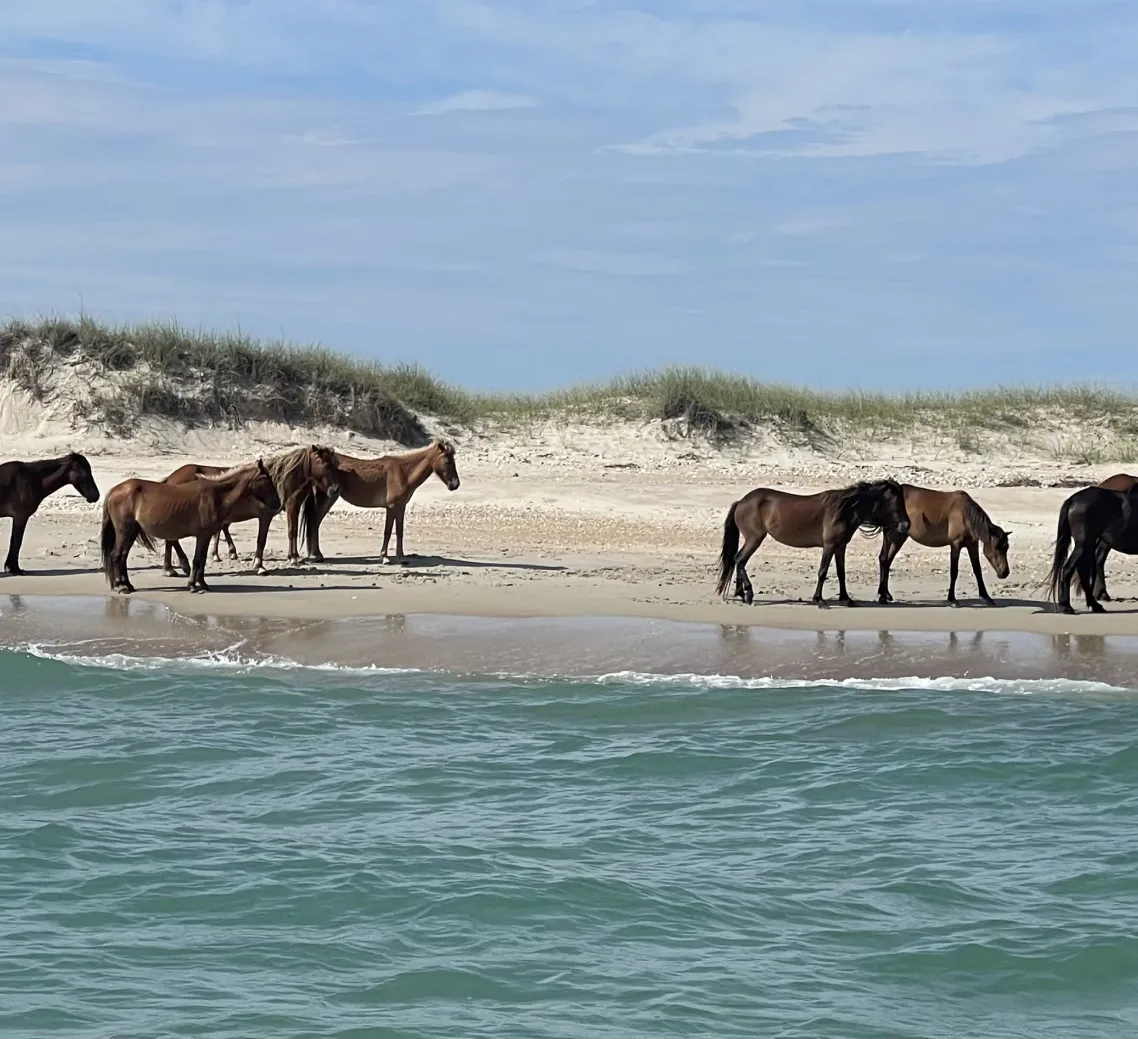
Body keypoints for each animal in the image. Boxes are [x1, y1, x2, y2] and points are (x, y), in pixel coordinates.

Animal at [101, 459, 281, 594]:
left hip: (131, 532)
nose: (278, 504)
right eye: (266, 479)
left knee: (122, 557)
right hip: (125, 532)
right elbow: (197, 560)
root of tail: (114, 490)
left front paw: (202, 584)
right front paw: (193, 585)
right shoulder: (202, 535)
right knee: (117, 556)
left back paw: (128, 585)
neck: (217, 495)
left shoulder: (206, 536)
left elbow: (202, 559)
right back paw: (122, 586)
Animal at [160, 445, 341, 576]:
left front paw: (294, 557)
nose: (335, 489)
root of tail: (170, 479)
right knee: (172, 539)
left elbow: (292, 531)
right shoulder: (270, 514)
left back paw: (171, 568)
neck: (276, 482)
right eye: (325, 464)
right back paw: (180, 565)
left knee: (171, 539)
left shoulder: (292, 507)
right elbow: (270, 537)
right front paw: (262, 564)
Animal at [299, 438, 461, 564]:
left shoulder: (400, 507)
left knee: (315, 523)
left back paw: (315, 555)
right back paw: (316, 555)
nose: (455, 484)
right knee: (314, 522)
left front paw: (401, 557)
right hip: (326, 498)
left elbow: (399, 531)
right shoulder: (391, 507)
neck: (403, 473)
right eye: (447, 461)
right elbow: (387, 531)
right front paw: (385, 557)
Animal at [715, 479, 910, 607]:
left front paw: (846, 599)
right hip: (754, 538)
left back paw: (741, 594)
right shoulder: (829, 546)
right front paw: (820, 600)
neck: (845, 509)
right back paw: (748, 594)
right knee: (740, 560)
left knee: (738, 560)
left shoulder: (840, 547)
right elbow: (822, 572)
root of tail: (741, 502)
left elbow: (841, 573)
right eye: (895, 502)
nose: (906, 525)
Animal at [876, 485, 1011, 606]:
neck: (965, 515)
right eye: (997, 547)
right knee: (883, 558)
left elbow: (977, 570)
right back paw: (882, 596)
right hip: (891, 534)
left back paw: (886, 594)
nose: (1005, 573)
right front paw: (952, 599)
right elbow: (954, 572)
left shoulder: (972, 544)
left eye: (1006, 548)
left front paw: (986, 597)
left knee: (888, 560)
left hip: (899, 536)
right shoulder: (955, 545)